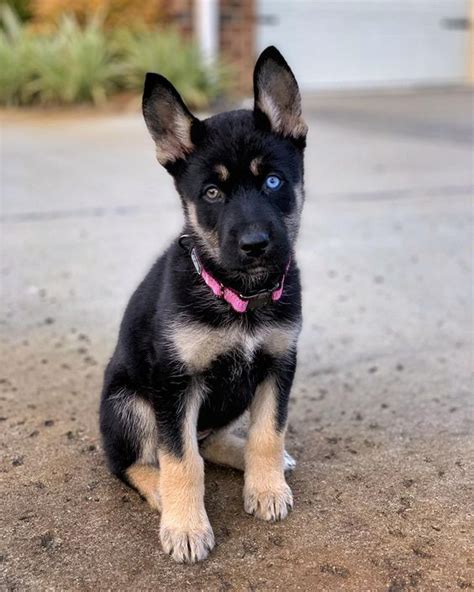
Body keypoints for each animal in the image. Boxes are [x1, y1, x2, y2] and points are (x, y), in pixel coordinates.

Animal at [100, 47, 308, 564]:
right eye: (212, 193)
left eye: (272, 181)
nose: (255, 245)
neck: (240, 297)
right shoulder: (175, 384)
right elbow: (180, 460)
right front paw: (186, 525)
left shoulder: (278, 364)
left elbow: (268, 432)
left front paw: (265, 486)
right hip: (129, 403)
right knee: (131, 460)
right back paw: (158, 490)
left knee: (209, 441)